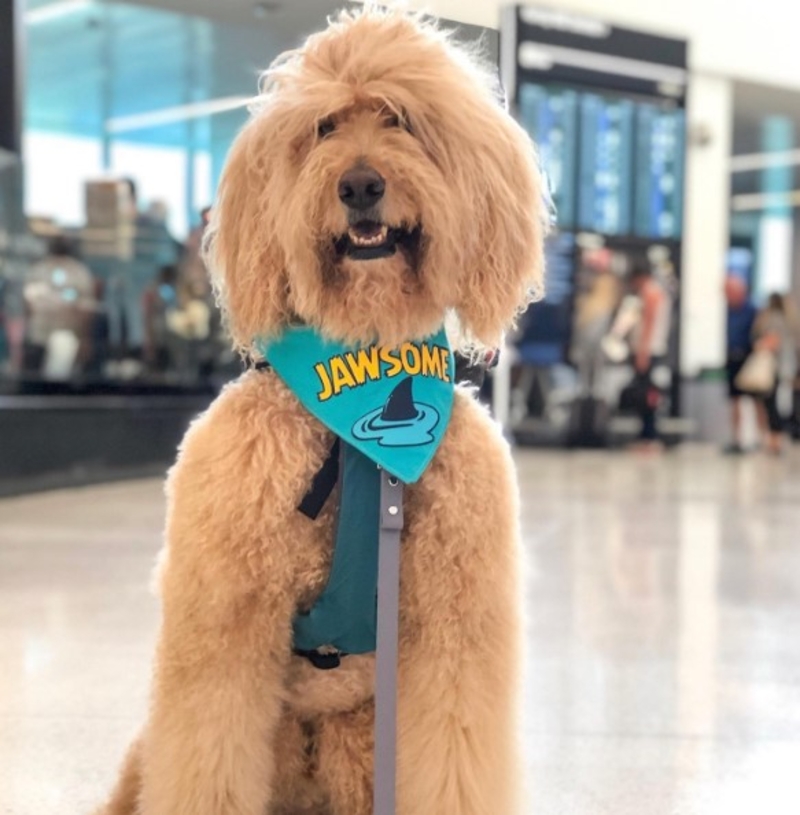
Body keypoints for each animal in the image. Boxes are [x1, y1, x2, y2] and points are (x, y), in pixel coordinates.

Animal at [92, 7, 544, 815]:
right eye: (325, 127)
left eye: (399, 119)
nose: (360, 183)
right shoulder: (227, 622)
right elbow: (209, 758)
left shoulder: (455, 626)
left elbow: (454, 754)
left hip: (362, 742)